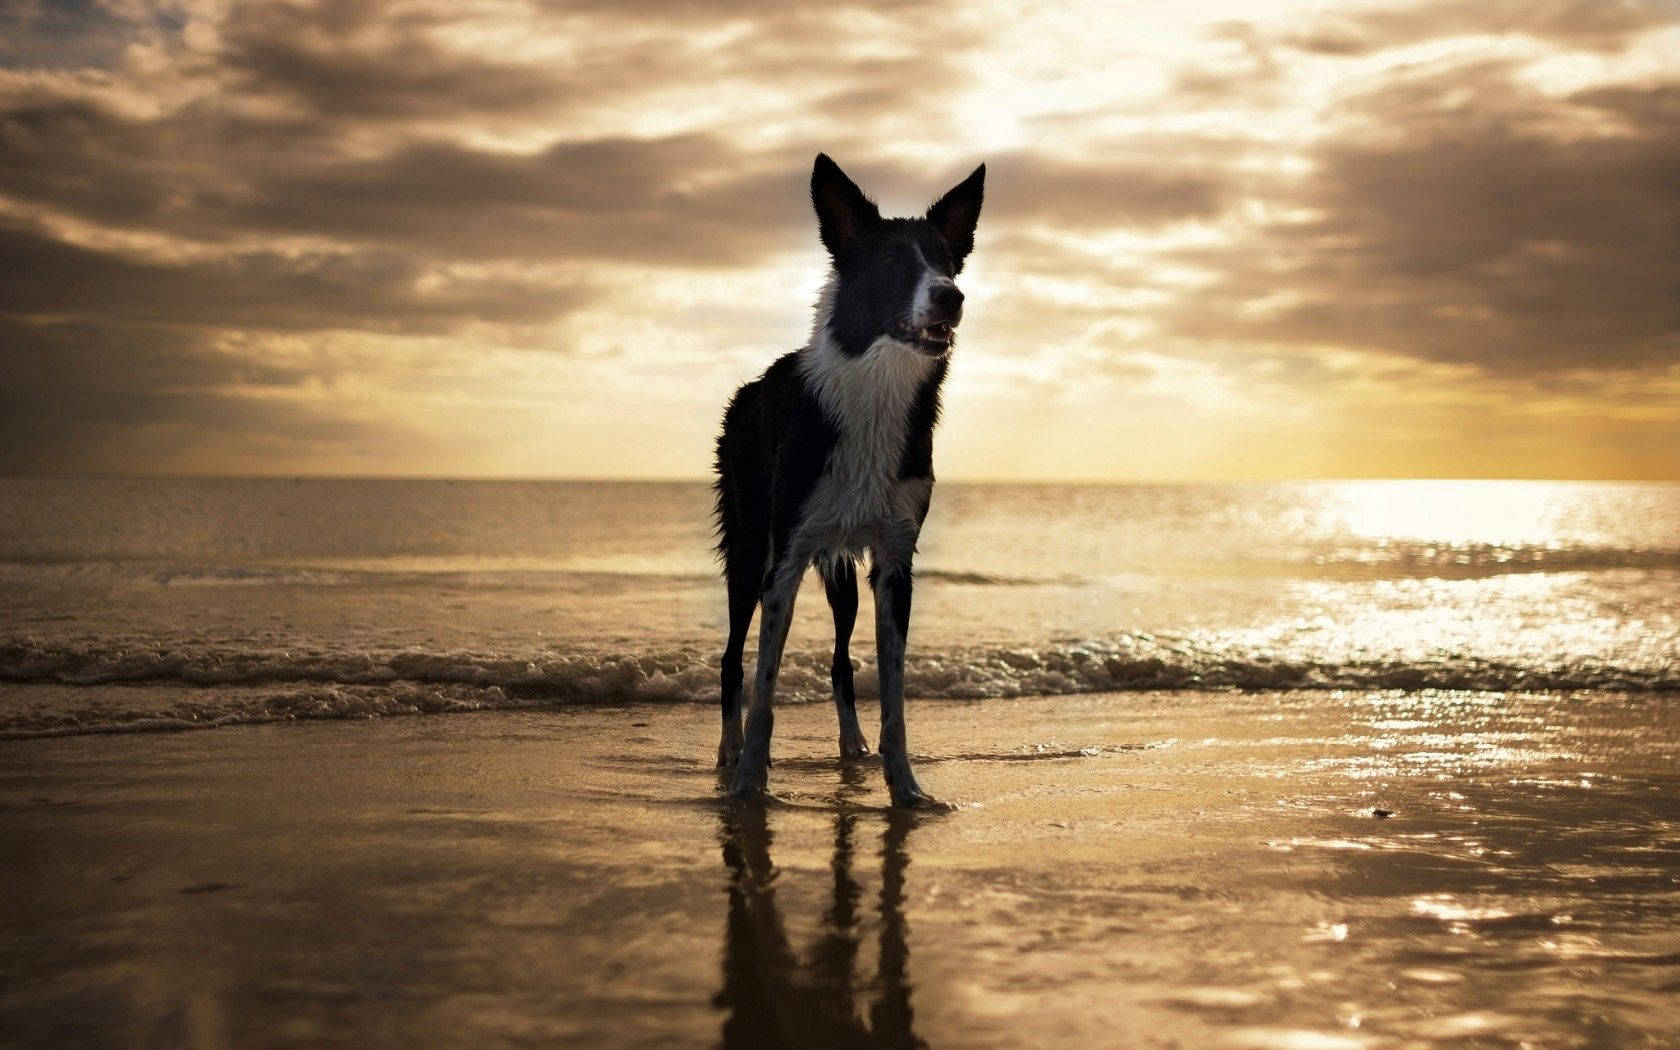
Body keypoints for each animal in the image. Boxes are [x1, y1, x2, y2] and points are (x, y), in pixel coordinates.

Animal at [712, 153, 981, 803]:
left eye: (948, 261)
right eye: (889, 262)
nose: (951, 297)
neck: (875, 389)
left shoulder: (894, 560)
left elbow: (894, 695)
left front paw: (906, 791)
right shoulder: (785, 558)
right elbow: (765, 687)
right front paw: (750, 785)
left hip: (841, 572)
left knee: (839, 660)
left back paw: (852, 747)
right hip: (749, 547)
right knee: (732, 657)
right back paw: (728, 756)